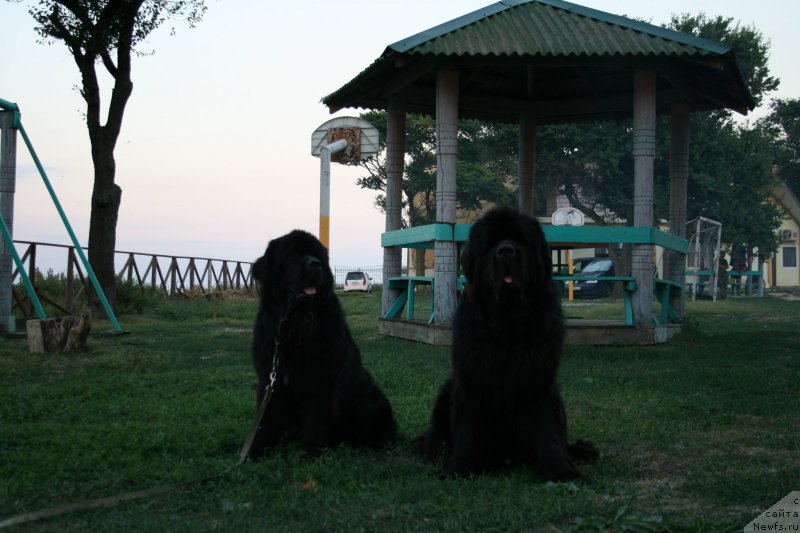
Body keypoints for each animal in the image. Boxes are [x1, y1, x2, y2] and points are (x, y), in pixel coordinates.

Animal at [247, 229, 396, 458]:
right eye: (291, 255)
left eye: (316, 255)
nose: (315, 264)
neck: (296, 326)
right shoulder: (270, 380)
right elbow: (266, 420)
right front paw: (255, 450)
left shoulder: (321, 380)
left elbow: (315, 420)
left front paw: (311, 453)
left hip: (373, 398)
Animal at [418, 206, 592, 480]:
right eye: (491, 243)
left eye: (520, 240)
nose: (506, 251)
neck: (508, 321)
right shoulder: (473, 381)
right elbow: (468, 431)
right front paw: (460, 469)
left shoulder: (538, 381)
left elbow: (548, 434)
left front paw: (562, 471)